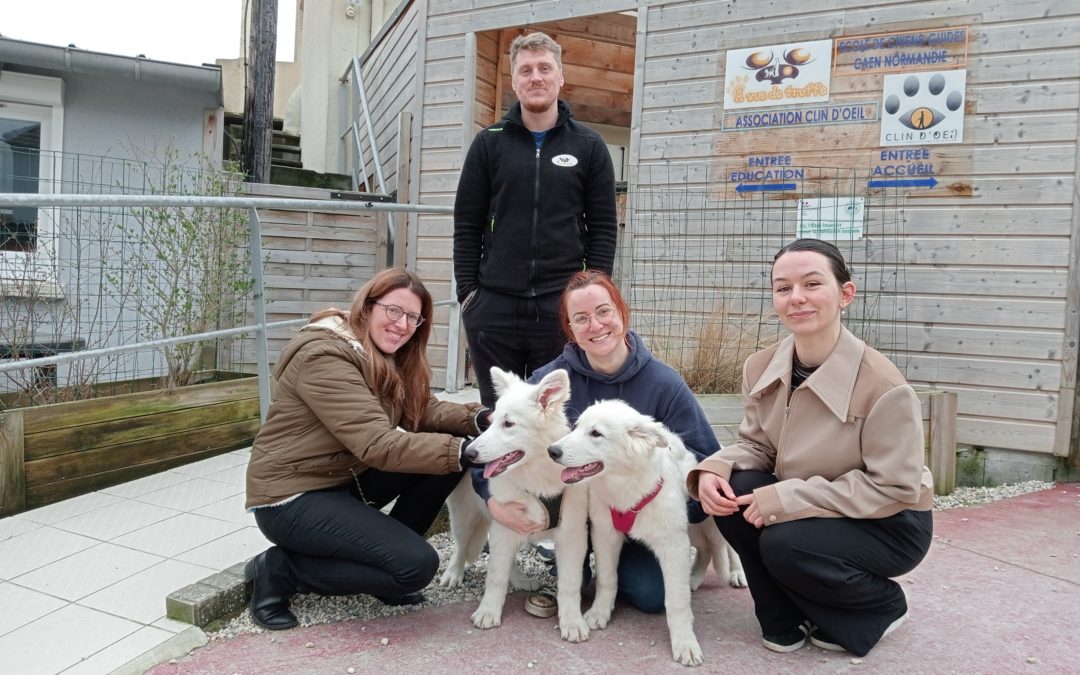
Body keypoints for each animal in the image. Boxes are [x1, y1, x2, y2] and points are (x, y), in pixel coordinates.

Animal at [440, 365, 591, 630]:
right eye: (491, 422)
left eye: (508, 423)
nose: (469, 453)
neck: (537, 478)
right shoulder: (505, 523)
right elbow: (495, 576)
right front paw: (488, 611)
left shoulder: (572, 535)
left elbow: (570, 582)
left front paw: (572, 621)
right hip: (465, 516)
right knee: (461, 546)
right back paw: (454, 573)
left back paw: (520, 580)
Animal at [552, 397, 747, 665]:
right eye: (576, 426)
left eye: (595, 433)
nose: (552, 451)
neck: (629, 488)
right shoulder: (605, 535)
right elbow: (607, 579)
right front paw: (600, 612)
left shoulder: (673, 544)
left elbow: (676, 602)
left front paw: (685, 643)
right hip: (692, 527)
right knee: (706, 550)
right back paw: (694, 578)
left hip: (711, 518)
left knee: (727, 547)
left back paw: (737, 574)